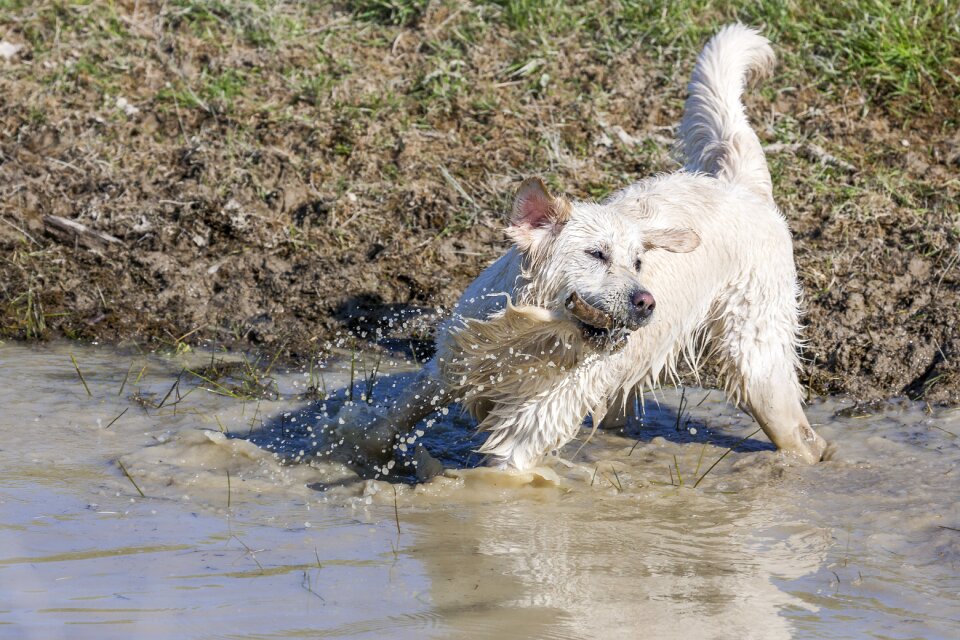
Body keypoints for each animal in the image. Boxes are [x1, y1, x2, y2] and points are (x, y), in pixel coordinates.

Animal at [336, 25, 824, 472]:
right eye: (597, 254)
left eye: (638, 262)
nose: (646, 302)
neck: (532, 338)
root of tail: (739, 185)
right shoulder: (454, 362)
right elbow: (395, 418)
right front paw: (358, 451)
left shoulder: (529, 428)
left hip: (755, 357)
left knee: (799, 432)